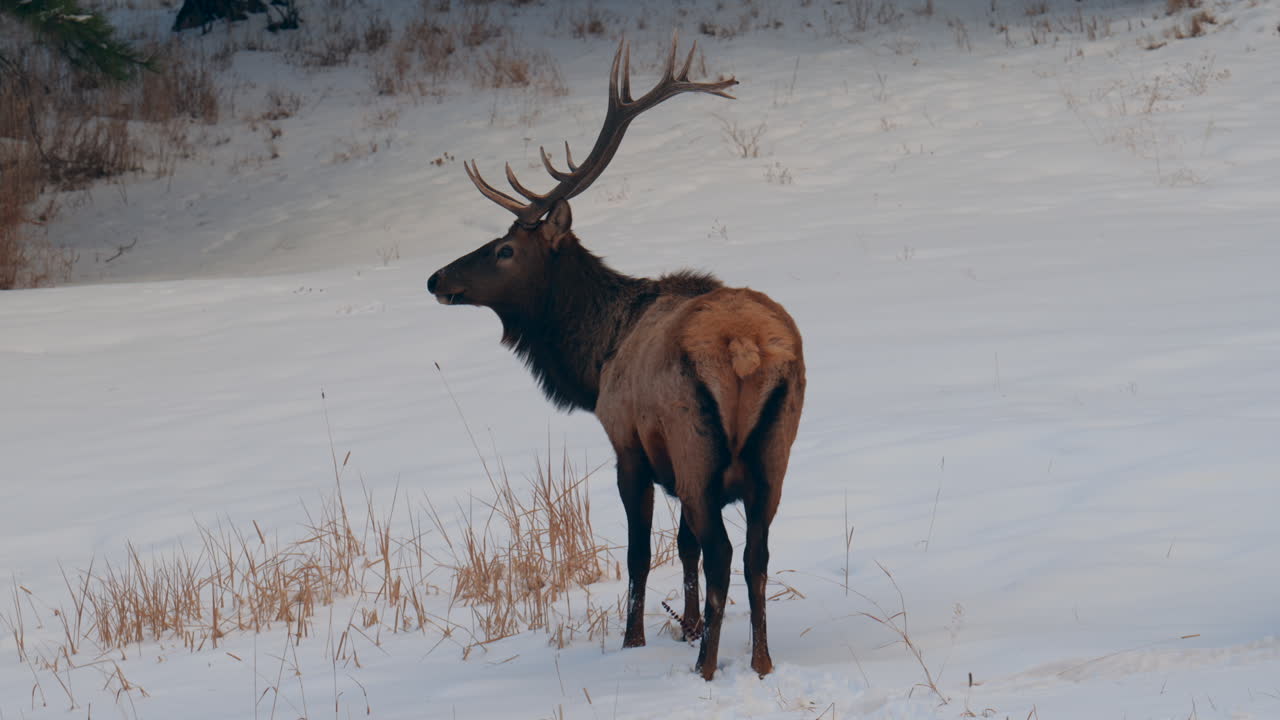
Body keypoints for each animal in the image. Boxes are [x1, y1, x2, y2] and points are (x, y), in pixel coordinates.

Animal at [427, 33, 805, 681]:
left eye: (505, 250)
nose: (436, 279)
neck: (596, 357)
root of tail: (746, 349)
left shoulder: (629, 444)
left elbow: (639, 552)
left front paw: (634, 642)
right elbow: (682, 547)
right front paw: (686, 626)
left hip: (696, 445)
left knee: (724, 552)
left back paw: (706, 668)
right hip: (774, 454)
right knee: (755, 552)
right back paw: (759, 662)